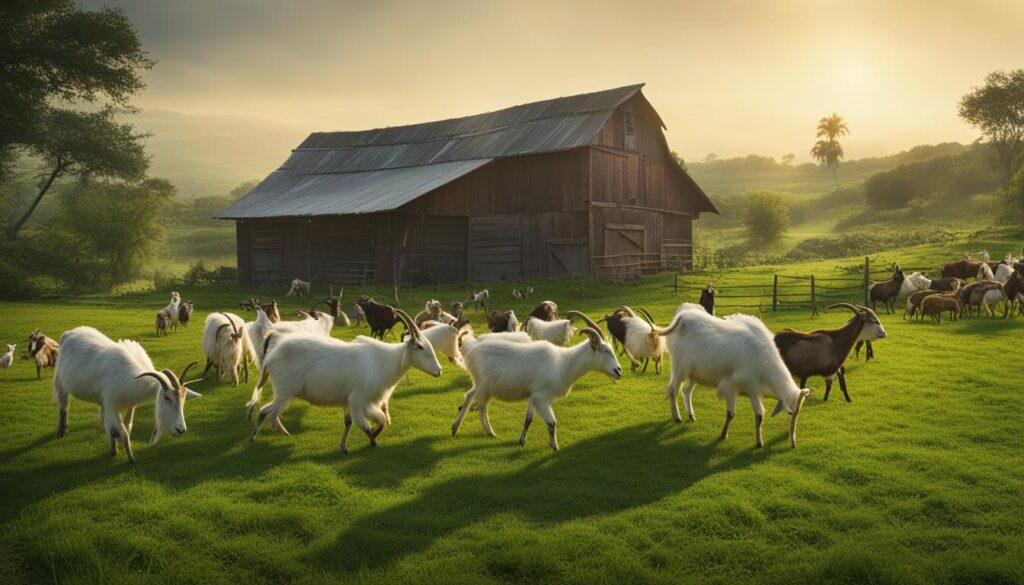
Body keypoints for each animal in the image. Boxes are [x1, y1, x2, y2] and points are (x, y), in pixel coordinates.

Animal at [53, 326, 201, 463]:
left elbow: (127, 428)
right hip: (60, 379)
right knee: (63, 406)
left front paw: (116, 450)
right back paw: (61, 431)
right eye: (167, 397)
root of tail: (68, 333)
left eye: (183, 399)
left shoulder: (130, 404)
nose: (181, 429)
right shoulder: (112, 405)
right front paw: (130, 458)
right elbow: (121, 431)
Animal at [248, 310, 441, 453]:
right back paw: (254, 437)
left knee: (271, 413)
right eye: (420, 347)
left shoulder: (352, 401)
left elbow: (362, 422)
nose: (438, 371)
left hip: (285, 392)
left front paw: (344, 446)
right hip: (285, 391)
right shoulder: (359, 400)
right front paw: (373, 441)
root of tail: (271, 356)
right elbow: (367, 423)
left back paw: (282, 432)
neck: (384, 360)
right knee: (266, 411)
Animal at [451, 318, 621, 451]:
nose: (618, 371)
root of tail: (472, 348)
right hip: (483, 384)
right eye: (603, 350)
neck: (563, 363)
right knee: (472, 399)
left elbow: (528, 419)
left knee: (480, 404)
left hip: (486, 387)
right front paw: (554, 447)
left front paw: (521, 441)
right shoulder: (541, 397)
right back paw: (456, 428)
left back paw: (488, 432)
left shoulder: (533, 395)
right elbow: (552, 422)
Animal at [657, 303, 812, 448]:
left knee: (686, 390)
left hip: (695, 373)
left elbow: (760, 414)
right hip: (679, 368)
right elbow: (731, 413)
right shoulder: (731, 387)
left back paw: (691, 415)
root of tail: (683, 315)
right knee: (673, 390)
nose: (793, 443)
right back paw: (677, 417)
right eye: (791, 413)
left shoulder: (753, 391)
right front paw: (723, 434)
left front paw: (759, 442)